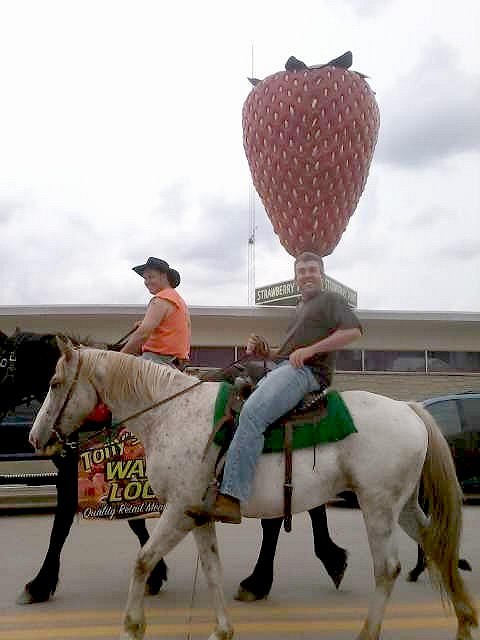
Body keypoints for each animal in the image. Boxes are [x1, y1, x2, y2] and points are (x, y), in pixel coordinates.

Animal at [0, 330, 348, 604]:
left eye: (54, 383)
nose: (34, 437)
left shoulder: (76, 476)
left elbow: (60, 528)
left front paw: (39, 584)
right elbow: (133, 524)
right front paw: (156, 573)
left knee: (277, 520)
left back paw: (264, 579)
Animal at [29, 340, 476, 640]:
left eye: (54, 382)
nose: (35, 438)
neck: (171, 414)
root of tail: (408, 409)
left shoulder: (177, 510)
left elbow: (141, 561)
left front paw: (132, 626)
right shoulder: (197, 514)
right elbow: (211, 570)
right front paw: (221, 630)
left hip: (378, 506)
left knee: (387, 569)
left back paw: (369, 630)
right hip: (404, 506)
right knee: (438, 547)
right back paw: (465, 622)